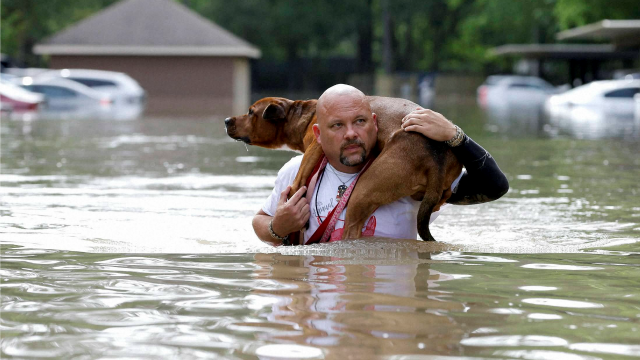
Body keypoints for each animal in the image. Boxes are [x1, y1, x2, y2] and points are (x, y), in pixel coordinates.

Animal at [228, 96, 462, 242]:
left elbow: (297, 182)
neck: (303, 114)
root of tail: (436, 157)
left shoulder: (313, 149)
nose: (226, 120)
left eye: (250, 112)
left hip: (362, 193)